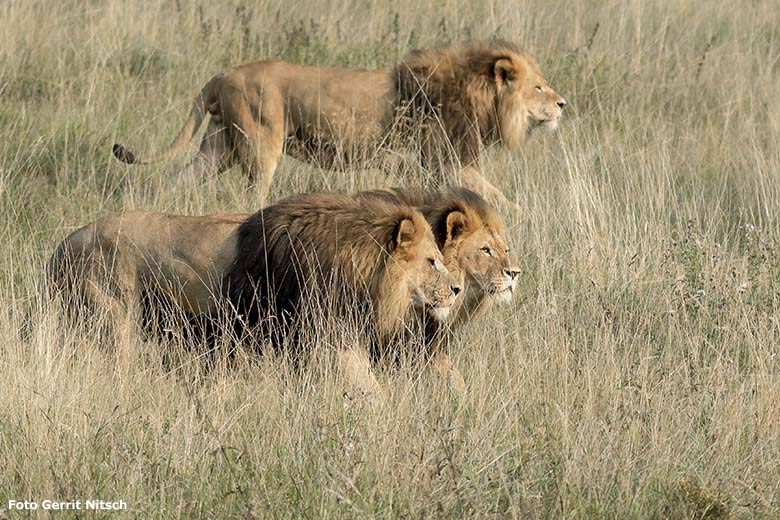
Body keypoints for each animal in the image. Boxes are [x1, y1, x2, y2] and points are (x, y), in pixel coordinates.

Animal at [114, 41, 568, 204]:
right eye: (539, 87)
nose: (563, 103)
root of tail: (221, 75)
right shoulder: (444, 161)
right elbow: (497, 195)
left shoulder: (432, 165)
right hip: (260, 146)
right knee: (252, 194)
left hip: (219, 145)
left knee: (177, 179)